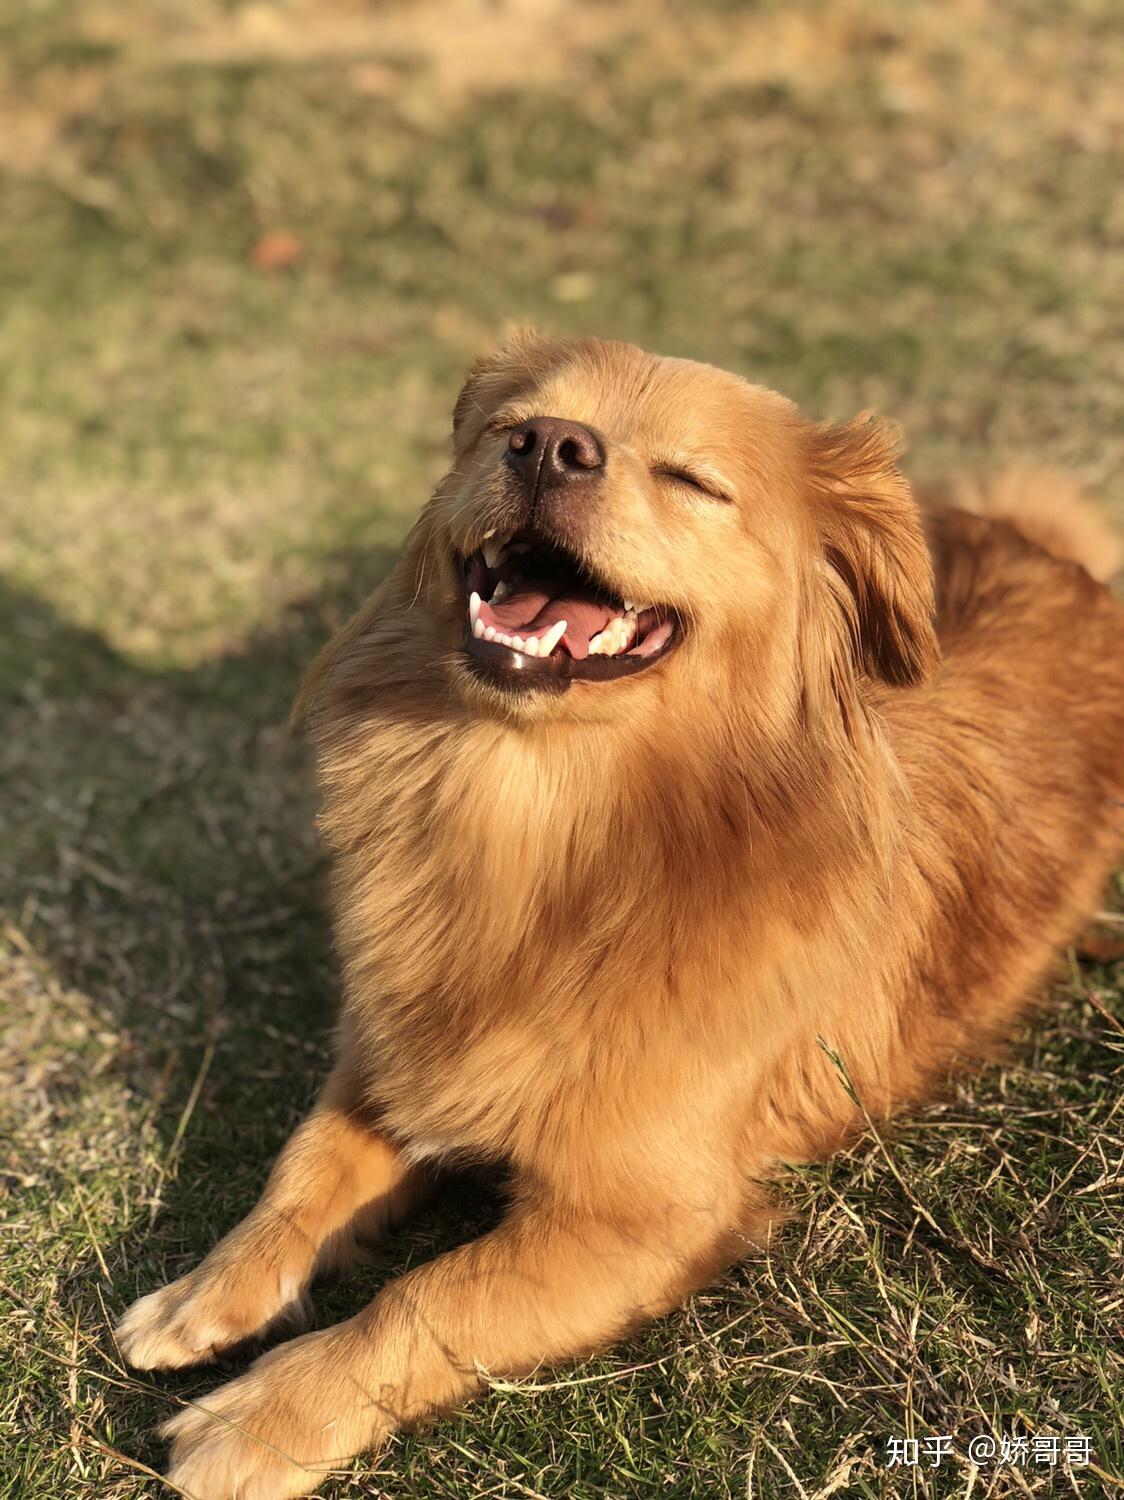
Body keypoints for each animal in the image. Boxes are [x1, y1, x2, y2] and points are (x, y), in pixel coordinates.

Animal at [116, 334, 1122, 1494]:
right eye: (507, 426)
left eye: (690, 479)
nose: (549, 445)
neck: (543, 827)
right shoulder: (389, 1068)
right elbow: (300, 1173)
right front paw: (208, 1292)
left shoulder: (642, 1218)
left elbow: (425, 1297)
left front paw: (262, 1420)